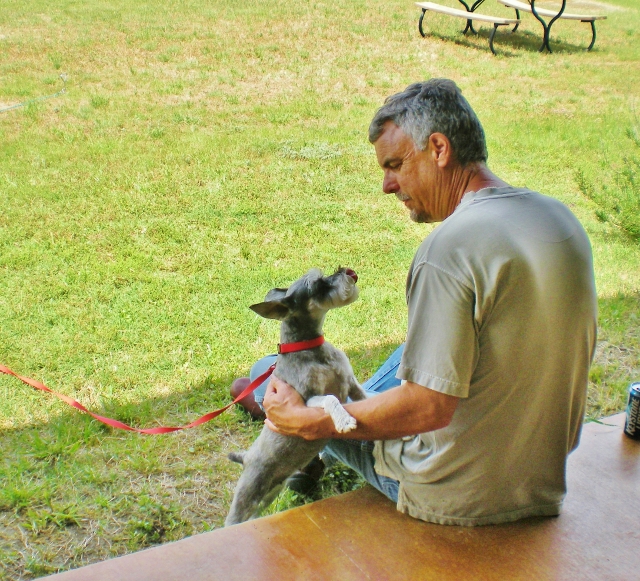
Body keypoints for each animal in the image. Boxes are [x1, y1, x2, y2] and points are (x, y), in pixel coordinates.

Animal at [224, 268, 364, 524]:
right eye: (317, 285)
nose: (348, 273)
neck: (312, 350)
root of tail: (246, 457)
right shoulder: (308, 399)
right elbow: (331, 399)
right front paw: (343, 420)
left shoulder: (351, 384)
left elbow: (366, 398)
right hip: (247, 497)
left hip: (272, 492)